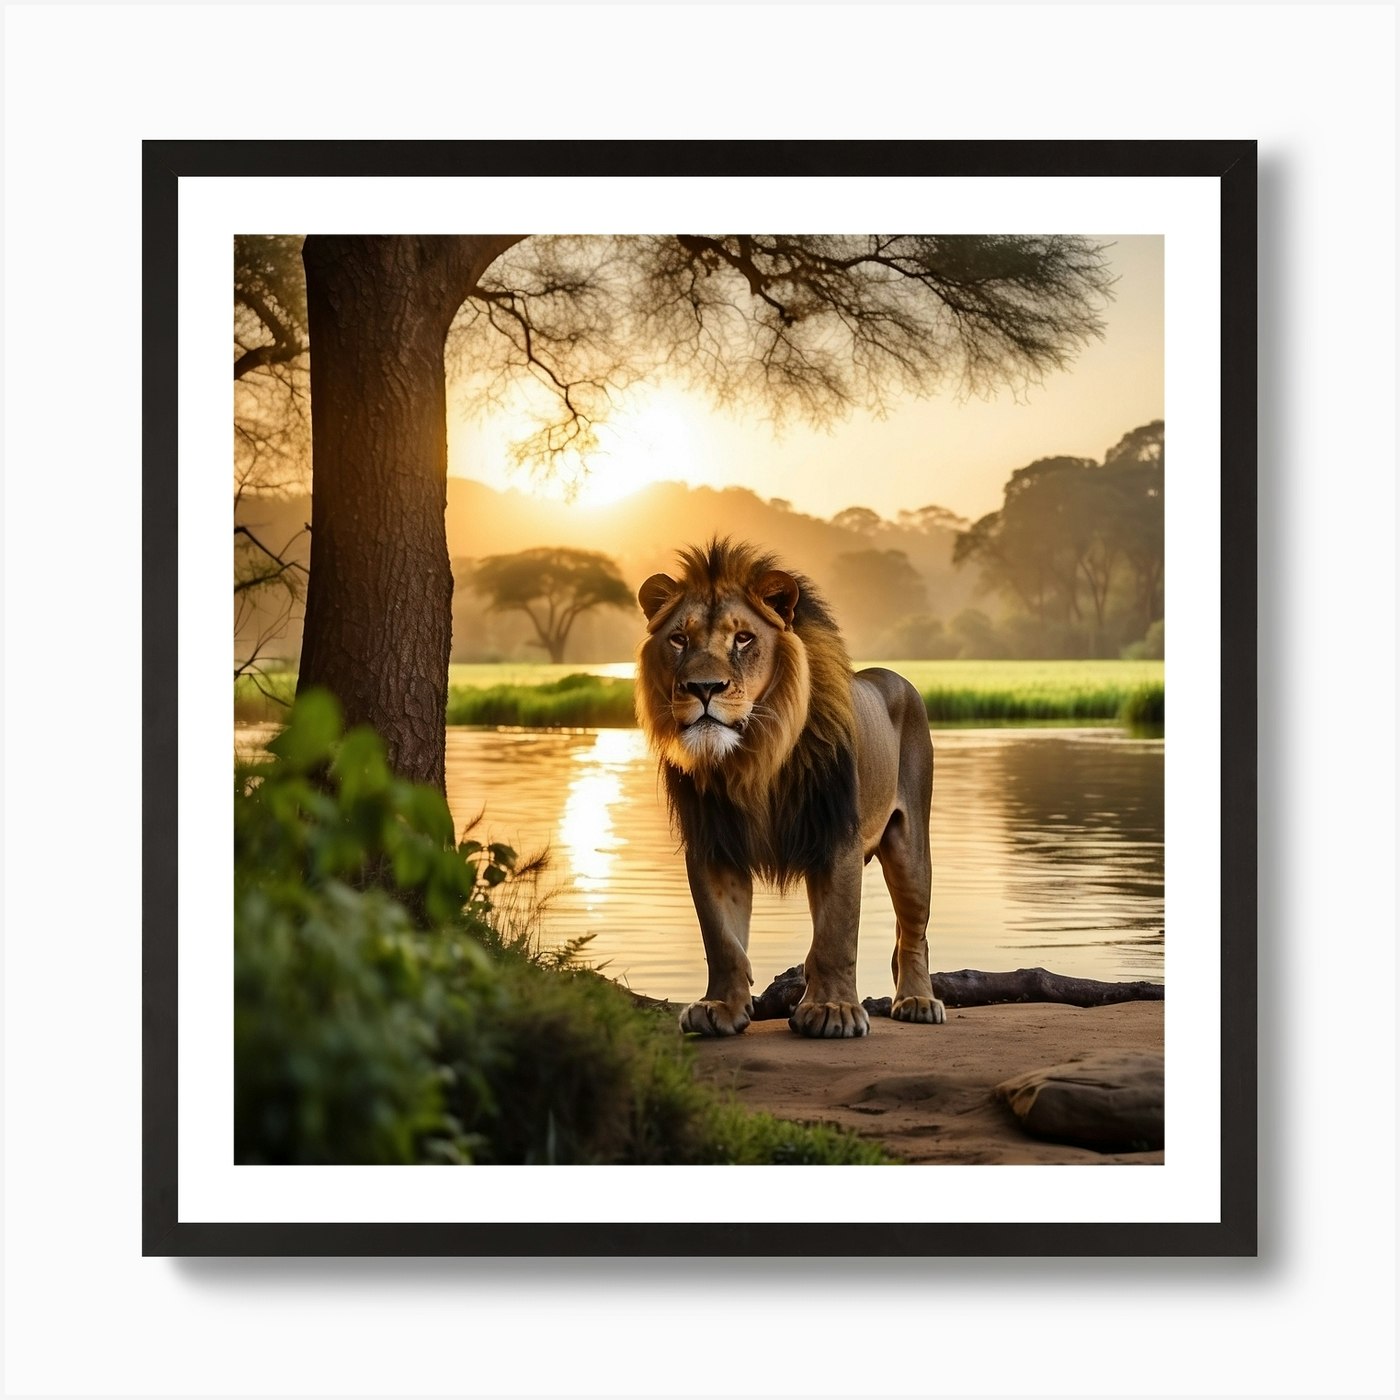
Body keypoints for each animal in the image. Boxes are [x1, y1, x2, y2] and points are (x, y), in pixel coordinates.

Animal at [635, 538, 945, 1039]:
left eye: (743, 638)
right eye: (679, 639)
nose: (703, 688)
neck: (754, 756)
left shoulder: (837, 835)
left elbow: (836, 935)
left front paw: (833, 1010)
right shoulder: (712, 841)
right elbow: (722, 938)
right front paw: (719, 1006)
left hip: (910, 844)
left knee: (914, 931)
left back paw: (917, 1000)